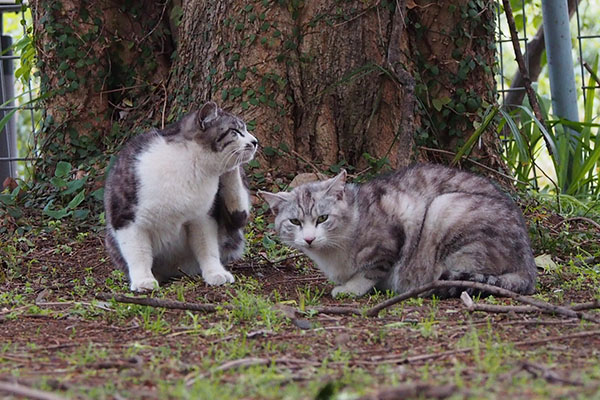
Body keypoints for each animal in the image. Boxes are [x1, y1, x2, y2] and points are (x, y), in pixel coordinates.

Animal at [103, 101, 258, 292]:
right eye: (235, 131)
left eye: (245, 129)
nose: (255, 141)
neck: (192, 164)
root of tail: (175, 270)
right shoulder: (126, 217)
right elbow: (138, 253)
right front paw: (143, 281)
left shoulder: (203, 217)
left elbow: (207, 247)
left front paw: (215, 273)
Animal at [260, 163, 536, 296]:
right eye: (295, 222)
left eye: (323, 218)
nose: (308, 239)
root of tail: (528, 267)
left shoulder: (394, 228)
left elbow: (371, 269)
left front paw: (350, 288)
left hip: (445, 208)